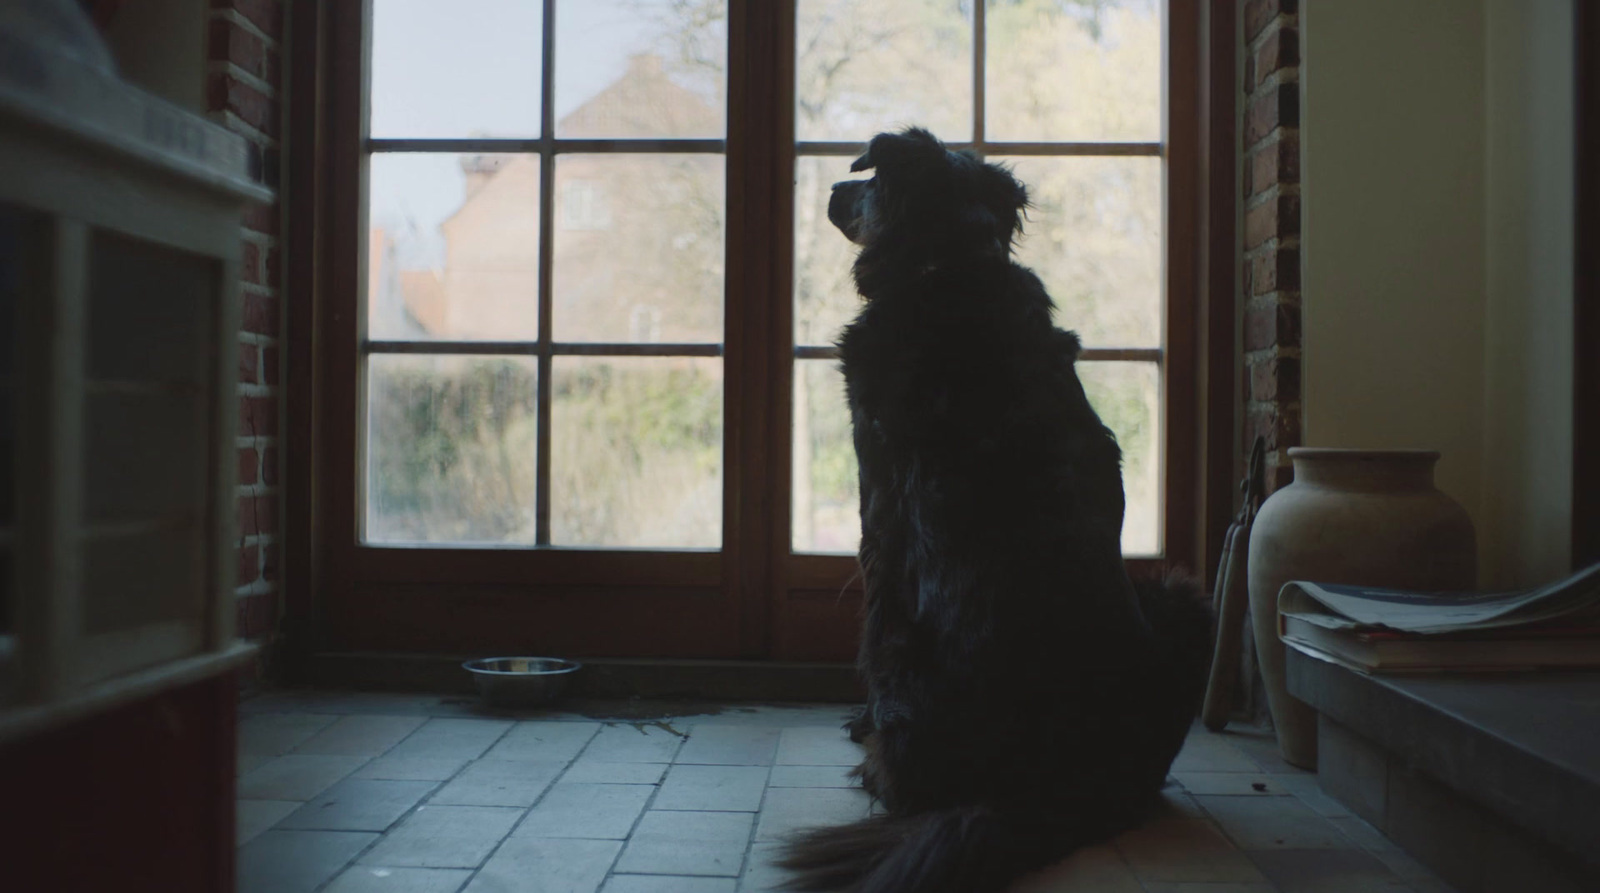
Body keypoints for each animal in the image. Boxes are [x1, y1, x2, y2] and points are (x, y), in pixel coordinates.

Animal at [777, 128, 1209, 893]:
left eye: (868, 177)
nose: (830, 189)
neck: (948, 263)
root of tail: (1061, 788)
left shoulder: (879, 502)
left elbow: (870, 614)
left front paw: (859, 724)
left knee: (904, 773)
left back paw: (873, 762)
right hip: (1179, 594)